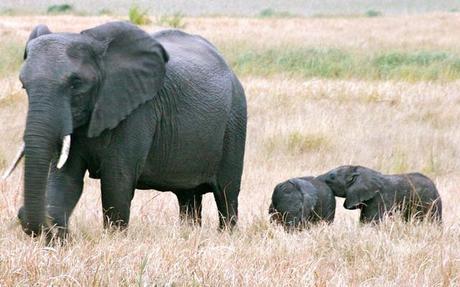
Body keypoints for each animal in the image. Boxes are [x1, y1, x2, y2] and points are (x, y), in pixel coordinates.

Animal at [14, 21, 246, 240]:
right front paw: (57, 239)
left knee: (226, 193)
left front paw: (113, 238)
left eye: (75, 83)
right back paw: (189, 234)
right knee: (187, 196)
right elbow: (65, 179)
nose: (20, 213)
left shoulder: (137, 111)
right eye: (24, 85)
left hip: (234, 120)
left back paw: (226, 234)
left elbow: (117, 180)